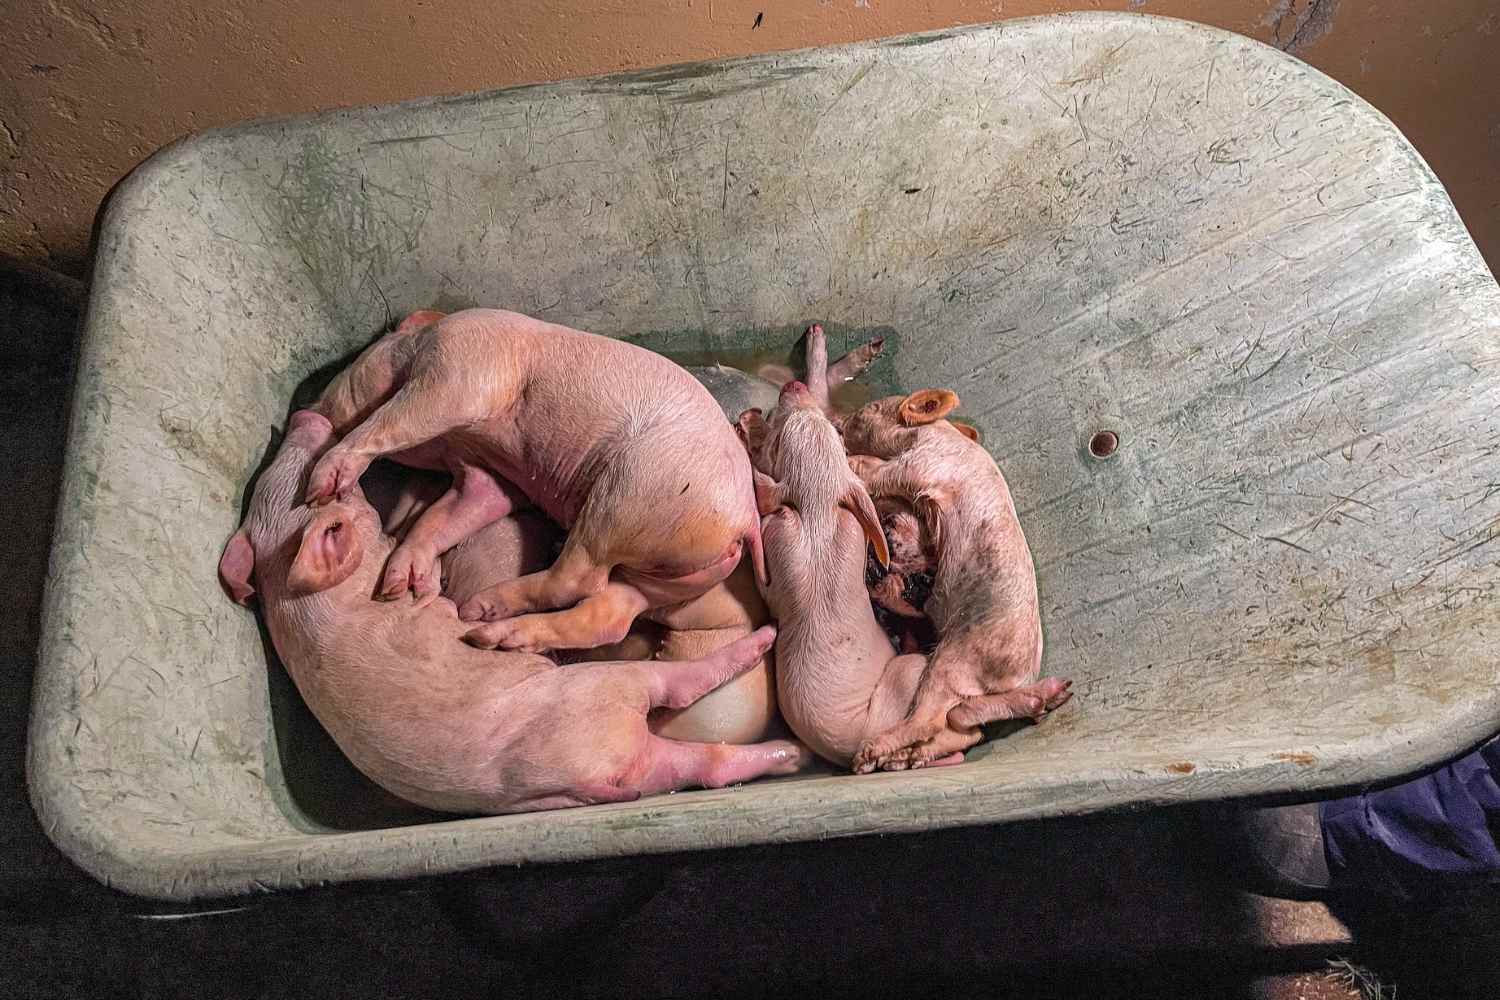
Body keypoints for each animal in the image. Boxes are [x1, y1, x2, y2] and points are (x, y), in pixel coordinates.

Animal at [217, 408, 809, 814]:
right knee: (680, 685)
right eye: (321, 492)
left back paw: (791, 756)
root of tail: (590, 773)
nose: (304, 415)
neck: (307, 599)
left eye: (279, 481)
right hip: (604, 691)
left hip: (635, 758)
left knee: (708, 765)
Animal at [304, 308, 765, 655]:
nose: (306, 407)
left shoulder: (459, 373)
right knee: (608, 615)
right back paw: (489, 631)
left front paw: (320, 489)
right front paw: (399, 586)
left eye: (350, 365)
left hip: (633, 493)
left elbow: (392, 420)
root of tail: (746, 519)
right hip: (667, 576)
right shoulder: (486, 474)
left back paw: (478, 609)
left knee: (576, 578)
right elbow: (446, 515)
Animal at [837, 386, 1071, 773]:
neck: (931, 433)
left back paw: (869, 757)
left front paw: (851, 459)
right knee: (963, 721)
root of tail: (1021, 673)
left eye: (871, 407)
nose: (838, 422)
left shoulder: (919, 465)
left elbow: (876, 472)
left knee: (935, 720)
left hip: (954, 659)